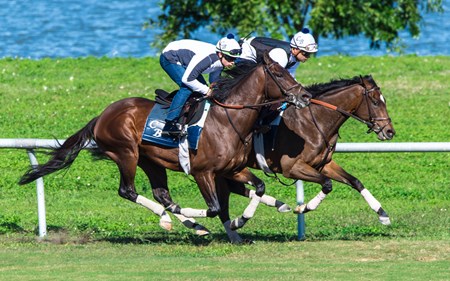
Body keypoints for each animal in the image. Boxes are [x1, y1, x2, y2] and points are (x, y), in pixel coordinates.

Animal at [19, 52, 312, 232]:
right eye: (279, 74)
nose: (305, 96)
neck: (228, 120)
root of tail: (102, 115)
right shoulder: (203, 172)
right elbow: (214, 208)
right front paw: (212, 218)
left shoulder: (233, 169)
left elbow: (259, 187)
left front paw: (242, 219)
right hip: (126, 154)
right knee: (128, 191)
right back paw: (170, 221)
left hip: (151, 161)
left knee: (162, 194)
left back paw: (189, 225)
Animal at [209, 74, 396, 241]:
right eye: (375, 102)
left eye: (384, 100)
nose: (389, 131)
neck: (314, 121)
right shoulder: (292, 168)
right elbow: (327, 184)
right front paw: (303, 208)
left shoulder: (324, 164)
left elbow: (355, 181)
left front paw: (382, 214)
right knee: (223, 203)